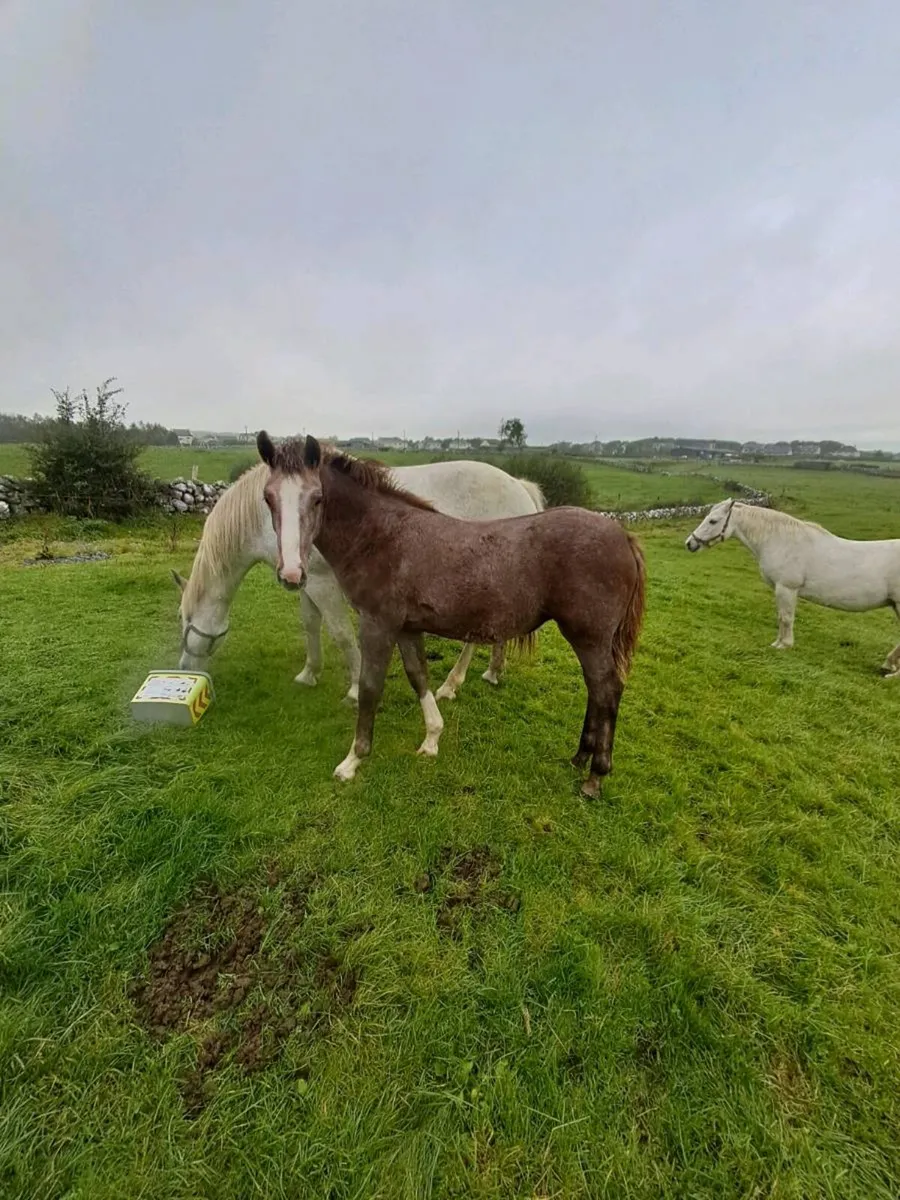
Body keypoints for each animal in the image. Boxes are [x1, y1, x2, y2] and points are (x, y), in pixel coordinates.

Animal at [173, 457, 546, 705]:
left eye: (184, 620)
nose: (184, 670)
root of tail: (519, 486)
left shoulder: (323, 583)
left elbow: (340, 633)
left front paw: (354, 688)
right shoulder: (307, 581)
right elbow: (310, 624)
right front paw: (309, 673)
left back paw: (451, 684)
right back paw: (493, 672)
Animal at [258, 432, 646, 797]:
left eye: (317, 498)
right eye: (268, 498)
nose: (291, 574)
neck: (383, 537)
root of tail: (623, 537)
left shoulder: (377, 625)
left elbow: (370, 688)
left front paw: (352, 761)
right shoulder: (406, 628)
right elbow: (418, 676)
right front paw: (432, 739)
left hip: (589, 637)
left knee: (607, 690)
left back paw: (595, 776)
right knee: (596, 689)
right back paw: (579, 757)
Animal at [686, 498, 900, 676]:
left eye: (713, 521)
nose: (690, 543)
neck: (781, 541)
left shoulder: (786, 588)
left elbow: (785, 618)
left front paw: (784, 645)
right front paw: (778, 642)